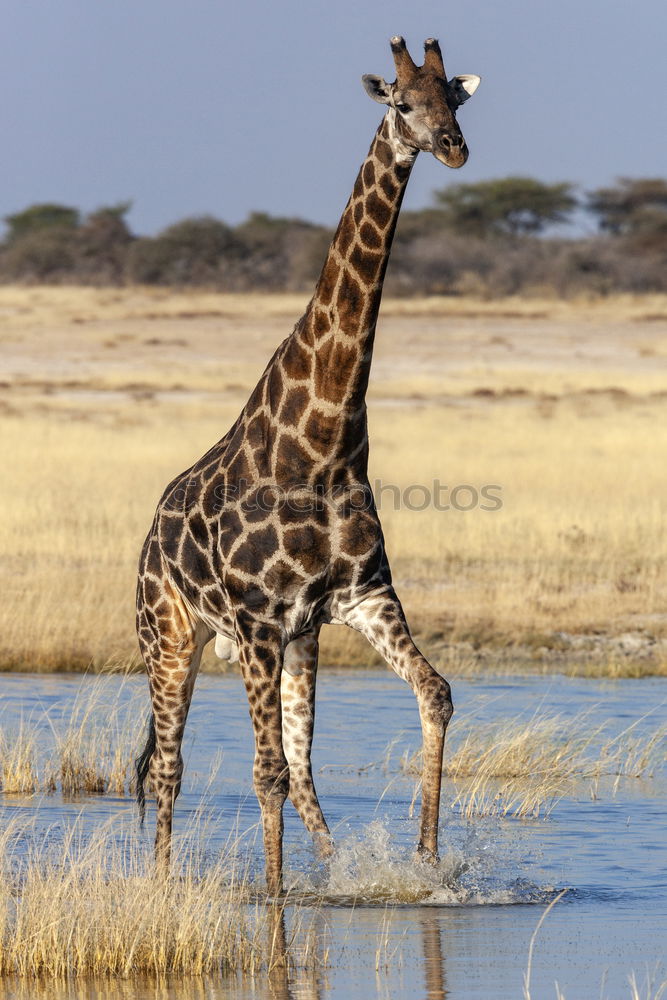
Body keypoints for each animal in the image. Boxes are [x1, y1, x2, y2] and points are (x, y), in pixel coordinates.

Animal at [136, 35, 480, 896]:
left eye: (454, 101)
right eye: (401, 102)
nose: (452, 148)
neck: (325, 443)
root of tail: (149, 534)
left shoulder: (357, 599)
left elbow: (435, 695)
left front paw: (426, 865)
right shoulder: (258, 620)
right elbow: (260, 772)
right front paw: (273, 900)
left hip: (296, 645)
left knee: (300, 768)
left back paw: (323, 864)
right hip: (171, 635)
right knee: (168, 767)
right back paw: (159, 883)